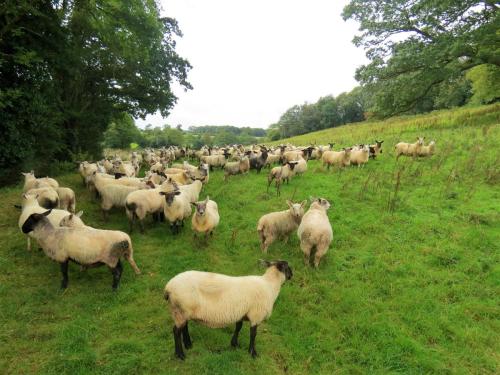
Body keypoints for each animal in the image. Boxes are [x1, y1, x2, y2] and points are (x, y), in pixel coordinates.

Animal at [163, 260, 292, 360]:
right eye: (287, 267)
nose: (292, 274)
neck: (270, 285)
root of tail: (168, 287)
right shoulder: (256, 315)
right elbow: (253, 334)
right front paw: (253, 353)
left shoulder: (241, 313)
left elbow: (238, 327)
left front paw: (234, 344)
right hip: (180, 311)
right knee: (176, 331)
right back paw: (180, 355)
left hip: (182, 311)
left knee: (184, 327)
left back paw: (188, 344)